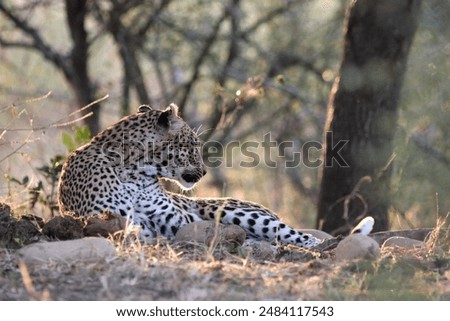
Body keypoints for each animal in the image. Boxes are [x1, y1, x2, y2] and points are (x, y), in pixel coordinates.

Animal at [57, 104, 324, 246]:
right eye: (193, 143)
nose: (205, 171)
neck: (135, 173)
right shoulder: (111, 220)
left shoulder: (180, 222)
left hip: (231, 210)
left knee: (291, 233)